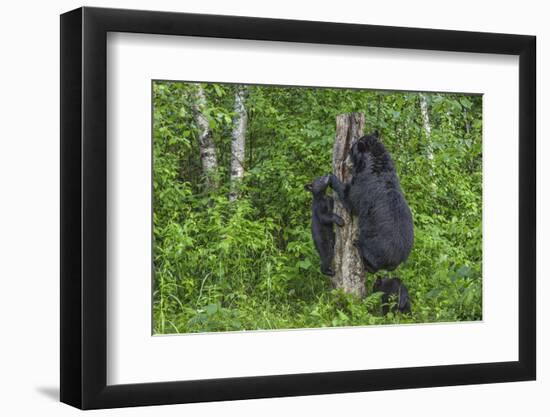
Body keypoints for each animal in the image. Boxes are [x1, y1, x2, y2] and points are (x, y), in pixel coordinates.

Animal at [332, 132, 414, 272]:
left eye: (350, 151)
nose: (344, 162)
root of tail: (397, 261)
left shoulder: (364, 185)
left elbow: (351, 199)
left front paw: (330, 179)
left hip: (374, 245)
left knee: (372, 261)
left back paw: (358, 245)